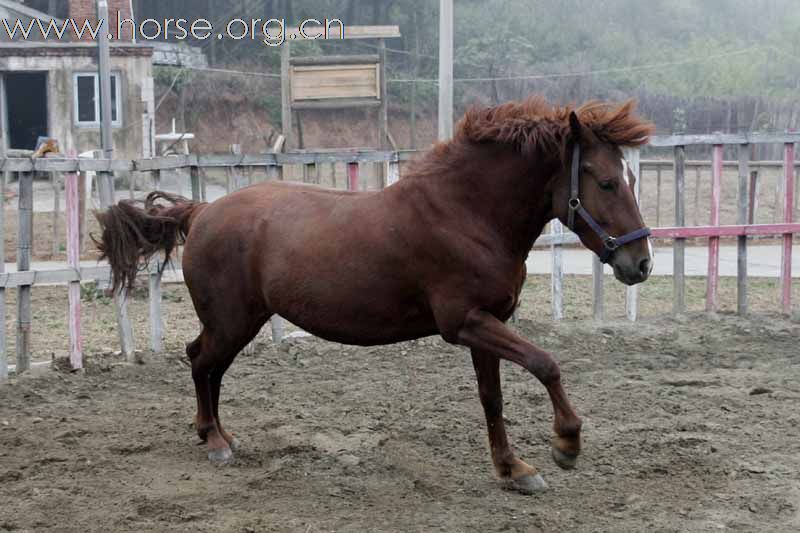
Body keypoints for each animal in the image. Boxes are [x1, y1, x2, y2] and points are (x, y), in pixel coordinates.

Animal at [97, 97, 652, 492]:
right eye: (606, 182)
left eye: (630, 177)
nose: (641, 263)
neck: (467, 214)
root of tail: (200, 212)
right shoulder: (465, 323)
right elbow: (546, 364)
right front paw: (566, 444)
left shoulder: (487, 324)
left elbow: (491, 398)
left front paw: (512, 469)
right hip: (232, 320)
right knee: (200, 362)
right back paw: (213, 439)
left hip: (239, 322)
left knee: (208, 366)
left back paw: (218, 434)